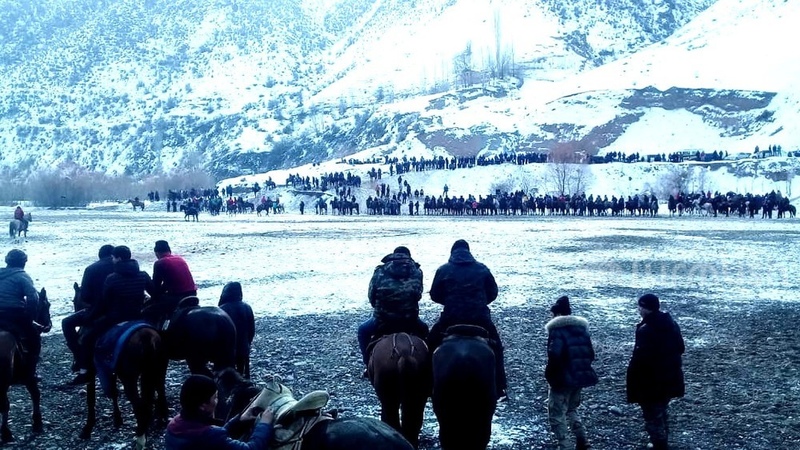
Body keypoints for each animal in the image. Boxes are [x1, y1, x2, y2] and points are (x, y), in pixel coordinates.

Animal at [0, 287, 51, 443]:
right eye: (47, 305)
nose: (49, 325)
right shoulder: (29, 376)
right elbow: (36, 394)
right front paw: (37, 423)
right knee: (4, 405)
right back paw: (6, 433)